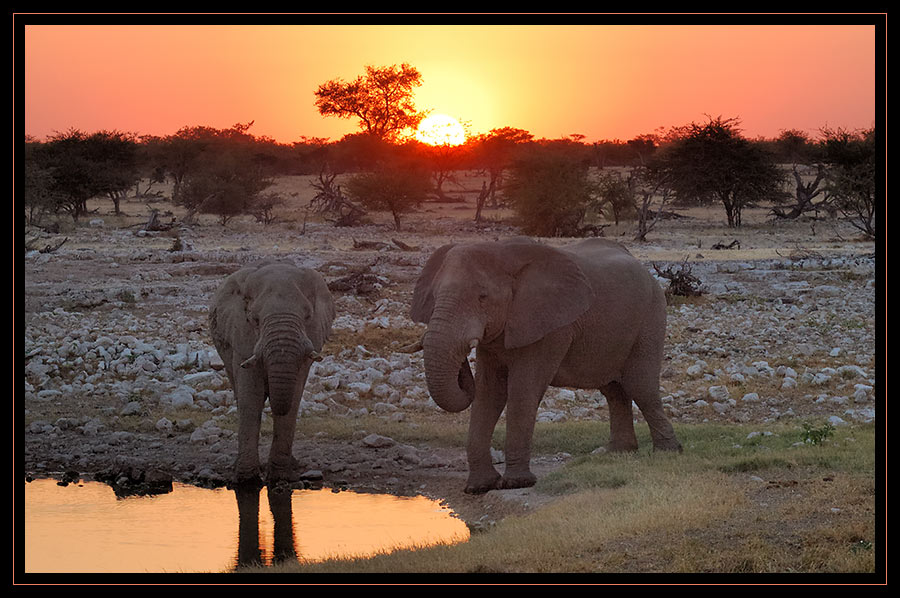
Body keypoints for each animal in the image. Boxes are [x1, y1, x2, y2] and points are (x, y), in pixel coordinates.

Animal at [209, 262, 336, 488]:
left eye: (307, 316)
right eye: (254, 319)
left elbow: (293, 397)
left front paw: (279, 477)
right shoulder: (241, 337)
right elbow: (251, 397)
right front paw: (247, 481)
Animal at [410, 237, 684, 494]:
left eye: (482, 297)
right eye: (434, 296)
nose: (463, 359)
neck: (503, 253)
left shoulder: (550, 327)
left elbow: (523, 390)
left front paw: (517, 483)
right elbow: (489, 394)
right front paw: (479, 487)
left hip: (651, 317)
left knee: (641, 386)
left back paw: (668, 452)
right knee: (614, 391)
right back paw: (616, 453)